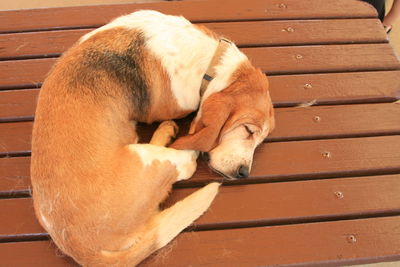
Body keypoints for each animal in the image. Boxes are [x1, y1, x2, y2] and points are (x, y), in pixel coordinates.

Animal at [31, 9, 276, 266]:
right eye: (249, 131)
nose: (244, 173)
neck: (210, 61)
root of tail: (82, 248)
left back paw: (166, 131)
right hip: (146, 158)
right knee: (184, 163)